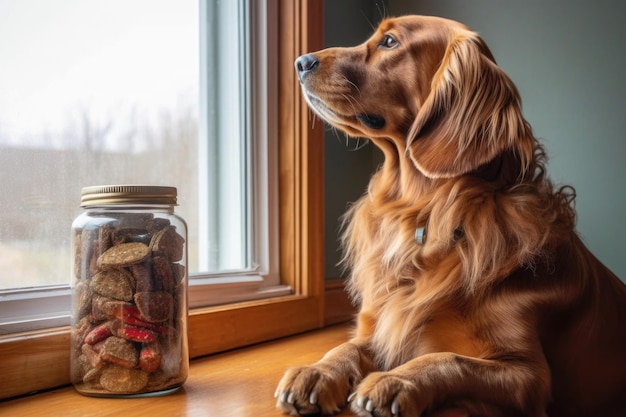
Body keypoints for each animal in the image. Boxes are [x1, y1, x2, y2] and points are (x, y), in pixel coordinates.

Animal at [274, 14, 624, 414]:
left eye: (390, 42)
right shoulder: (386, 324)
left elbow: (449, 359)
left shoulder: (528, 376)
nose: (300, 62)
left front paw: (396, 381)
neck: (432, 211)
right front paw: (317, 371)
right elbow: (345, 345)